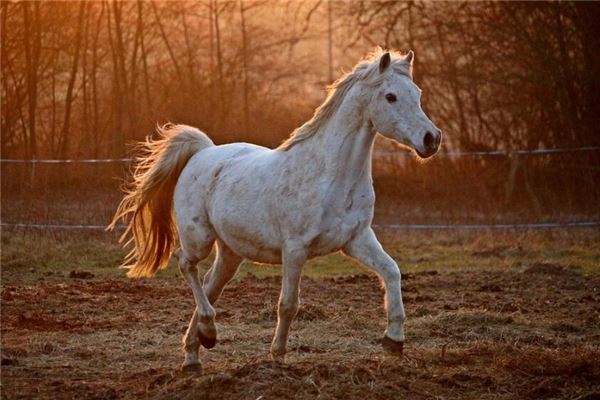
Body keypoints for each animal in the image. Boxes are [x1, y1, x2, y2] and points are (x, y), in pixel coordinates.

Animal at [111, 49, 440, 372]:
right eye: (390, 96)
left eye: (417, 93)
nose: (431, 139)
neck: (329, 175)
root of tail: (203, 152)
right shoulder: (295, 248)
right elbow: (288, 304)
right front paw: (278, 355)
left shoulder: (356, 239)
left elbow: (392, 272)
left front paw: (394, 341)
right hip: (199, 238)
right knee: (185, 264)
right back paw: (208, 331)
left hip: (230, 253)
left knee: (209, 285)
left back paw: (195, 352)